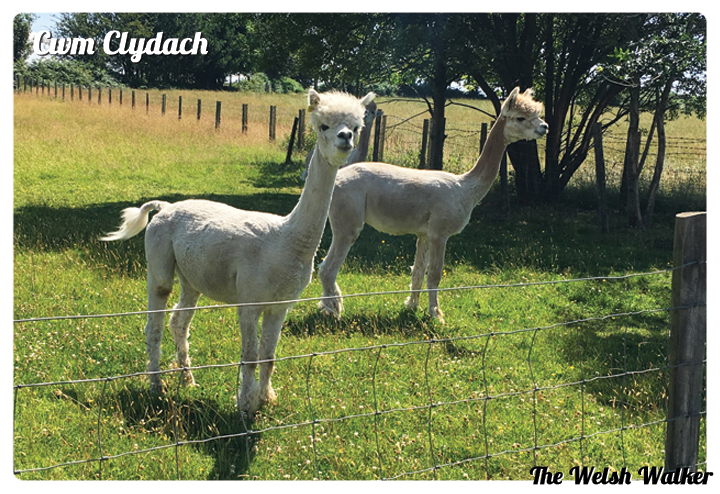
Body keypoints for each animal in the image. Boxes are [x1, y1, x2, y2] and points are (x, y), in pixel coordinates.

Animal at [101, 89, 375, 416]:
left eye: (357, 126)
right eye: (324, 126)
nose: (345, 137)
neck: (287, 239)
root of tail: (166, 207)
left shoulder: (280, 304)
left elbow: (269, 356)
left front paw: (266, 398)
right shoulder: (250, 300)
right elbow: (250, 355)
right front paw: (245, 405)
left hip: (191, 278)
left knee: (178, 321)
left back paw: (188, 379)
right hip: (158, 261)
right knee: (153, 324)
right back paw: (157, 386)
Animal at [317, 87, 547, 323]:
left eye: (538, 114)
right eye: (520, 118)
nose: (544, 127)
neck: (465, 188)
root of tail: (334, 180)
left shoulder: (424, 233)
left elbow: (418, 271)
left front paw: (411, 306)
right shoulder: (439, 233)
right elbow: (435, 274)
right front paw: (436, 315)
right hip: (347, 220)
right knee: (327, 268)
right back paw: (332, 310)